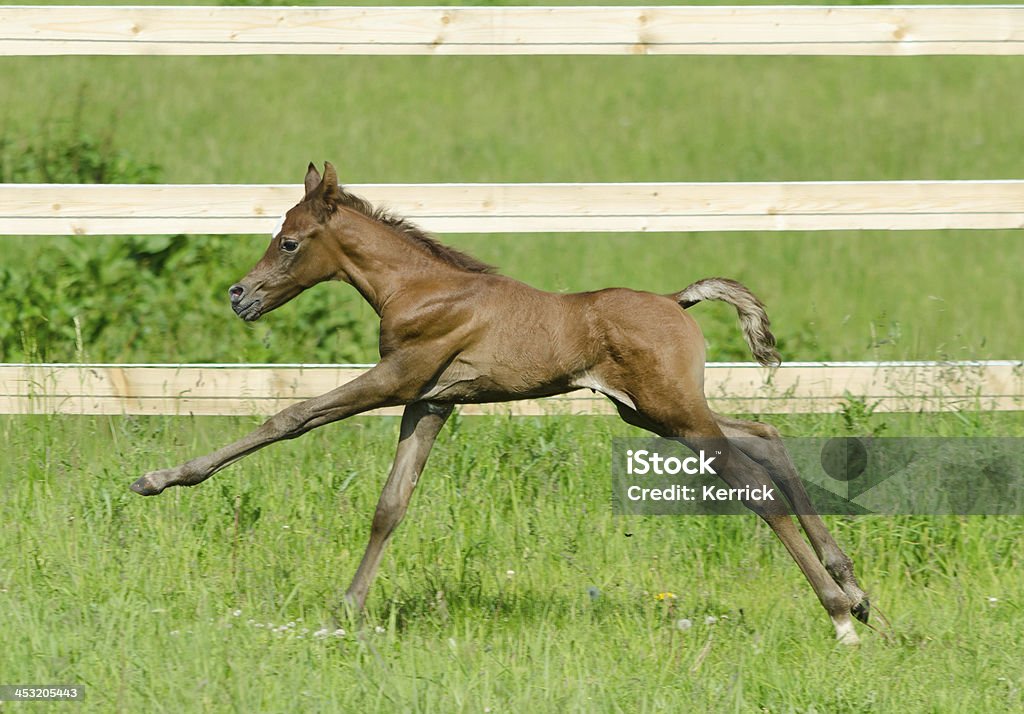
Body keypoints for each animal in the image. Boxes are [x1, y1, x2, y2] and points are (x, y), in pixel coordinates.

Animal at [125, 163, 864, 643]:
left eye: (289, 241)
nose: (239, 296)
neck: (420, 289)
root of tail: (675, 301)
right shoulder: (428, 403)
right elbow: (391, 505)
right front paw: (349, 612)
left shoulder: (396, 378)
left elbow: (292, 417)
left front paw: (158, 478)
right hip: (652, 411)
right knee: (765, 436)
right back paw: (854, 590)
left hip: (672, 412)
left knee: (752, 481)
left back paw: (838, 614)